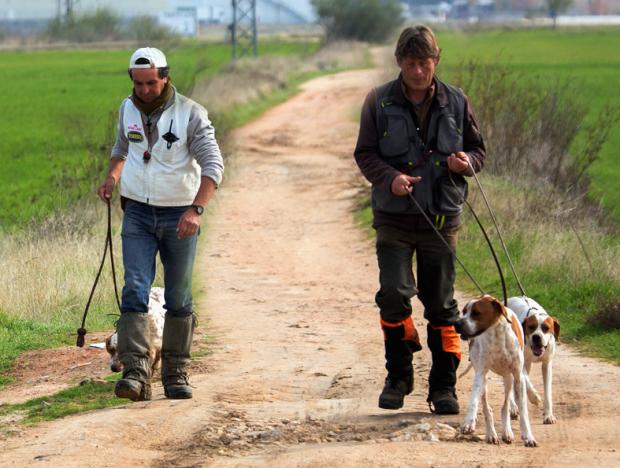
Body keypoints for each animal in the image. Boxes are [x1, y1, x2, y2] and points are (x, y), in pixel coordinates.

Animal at [452, 294, 540, 448]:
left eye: (476, 313)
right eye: (463, 312)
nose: (457, 324)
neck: (496, 336)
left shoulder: (518, 376)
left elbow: (523, 411)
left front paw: (528, 436)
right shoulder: (480, 374)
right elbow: (474, 400)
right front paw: (469, 422)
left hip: (508, 378)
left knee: (505, 406)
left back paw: (507, 431)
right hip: (484, 379)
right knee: (487, 407)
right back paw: (491, 434)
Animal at [508, 296, 560, 424]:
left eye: (546, 328)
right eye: (531, 327)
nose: (536, 337)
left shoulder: (547, 364)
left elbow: (547, 392)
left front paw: (548, 415)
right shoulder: (521, 364)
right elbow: (527, 381)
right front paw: (534, 398)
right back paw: (513, 407)